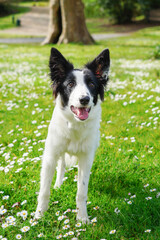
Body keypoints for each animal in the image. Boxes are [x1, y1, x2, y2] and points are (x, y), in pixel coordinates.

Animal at [35, 47, 110, 223]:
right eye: (70, 84)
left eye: (91, 84)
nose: (84, 99)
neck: (75, 125)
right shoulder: (50, 156)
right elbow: (44, 190)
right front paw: (39, 216)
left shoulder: (86, 159)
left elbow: (81, 192)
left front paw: (82, 219)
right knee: (61, 165)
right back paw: (58, 185)